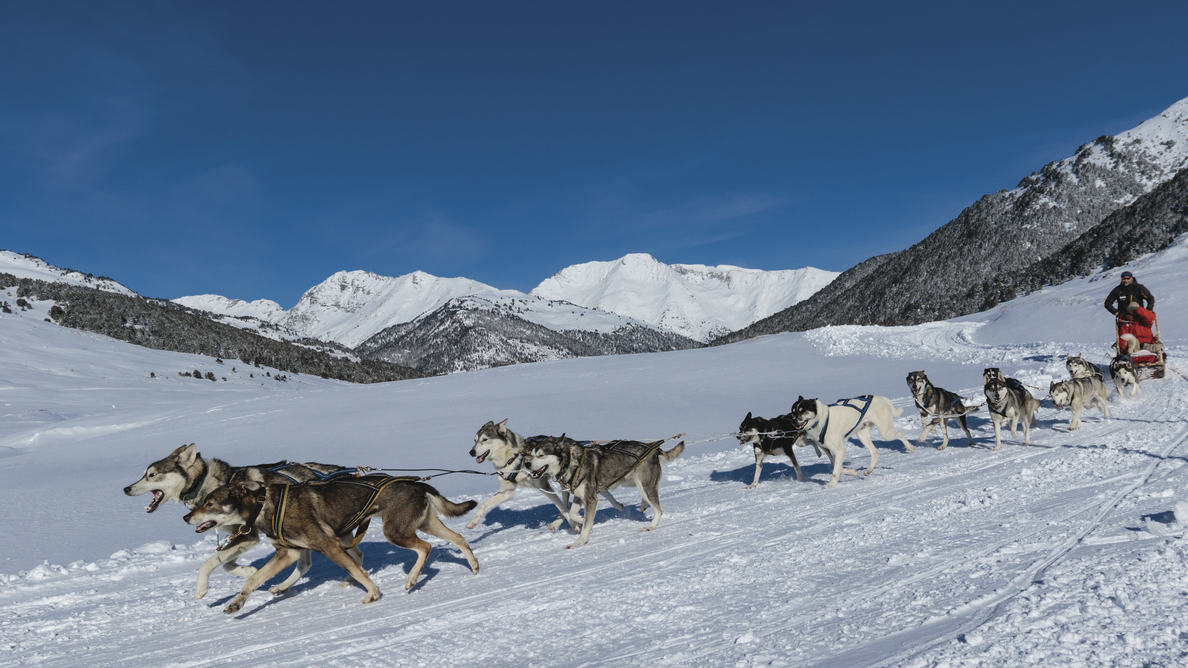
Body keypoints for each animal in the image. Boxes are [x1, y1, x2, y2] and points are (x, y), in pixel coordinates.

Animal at [124, 442, 361, 599]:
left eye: (152, 475)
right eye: (145, 474)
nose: (126, 488)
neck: (210, 484)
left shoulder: (249, 535)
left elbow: (210, 562)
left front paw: (201, 589)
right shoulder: (239, 536)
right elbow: (226, 563)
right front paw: (248, 571)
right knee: (307, 563)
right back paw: (284, 586)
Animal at [181, 475, 477, 613]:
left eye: (209, 503)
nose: (186, 516)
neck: (266, 505)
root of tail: (416, 484)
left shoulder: (329, 545)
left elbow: (358, 570)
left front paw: (373, 593)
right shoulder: (288, 553)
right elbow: (252, 580)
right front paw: (237, 603)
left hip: (395, 531)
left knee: (425, 548)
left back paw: (412, 578)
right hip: (424, 524)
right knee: (458, 538)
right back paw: (473, 565)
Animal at [468, 420, 627, 530]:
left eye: (484, 439)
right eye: (475, 440)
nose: (471, 452)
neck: (514, 457)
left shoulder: (543, 486)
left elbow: (563, 508)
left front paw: (574, 525)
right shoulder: (506, 492)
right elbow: (483, 504)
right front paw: (473, 522)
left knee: (567, 504)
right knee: (602, 490)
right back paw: (618, 505)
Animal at [525, 432, 684, 546]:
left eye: (541, 455)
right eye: (530, 455)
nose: (526, 464)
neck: (571, 462)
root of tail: (655, 449)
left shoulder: (590, 498)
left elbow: (582, 521)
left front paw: (579, 541)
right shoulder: (579, 495)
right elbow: (571, 512)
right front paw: (581, 519)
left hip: (643, 484)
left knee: (659, 509)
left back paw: (651, 526)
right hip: (630, 481)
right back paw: (643, 505)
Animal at [788, 392, 917, 487]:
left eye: (802, 410)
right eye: (793, 411)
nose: (793, 421)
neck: (821, 420)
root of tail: (881, 398)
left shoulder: (840, 450)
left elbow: (836, 470)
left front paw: (831, 484)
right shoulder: (827, 448)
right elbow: (836, 465)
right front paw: (852, 471)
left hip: (886, 432)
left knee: (900, 434)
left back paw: (910, 447)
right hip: (862, 435)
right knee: (875, 452)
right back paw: (868, 470)